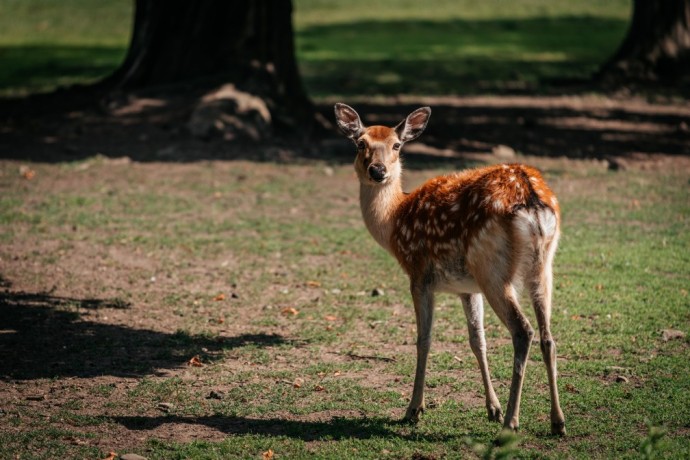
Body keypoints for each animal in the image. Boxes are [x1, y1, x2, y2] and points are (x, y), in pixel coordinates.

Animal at [334, 103, 564, 434]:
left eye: (397, 145)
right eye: (360, 143)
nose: (377, 171)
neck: (394, 220)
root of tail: (531, 198)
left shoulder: (418, 274)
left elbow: (423, 340)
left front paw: (414, 409)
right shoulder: (467, 288)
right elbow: (477, 340)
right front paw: (491, 408)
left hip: (492, 269)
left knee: (523, 331)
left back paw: (511, 423)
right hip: (543, 267)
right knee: (548, 336)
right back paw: (557, 422)